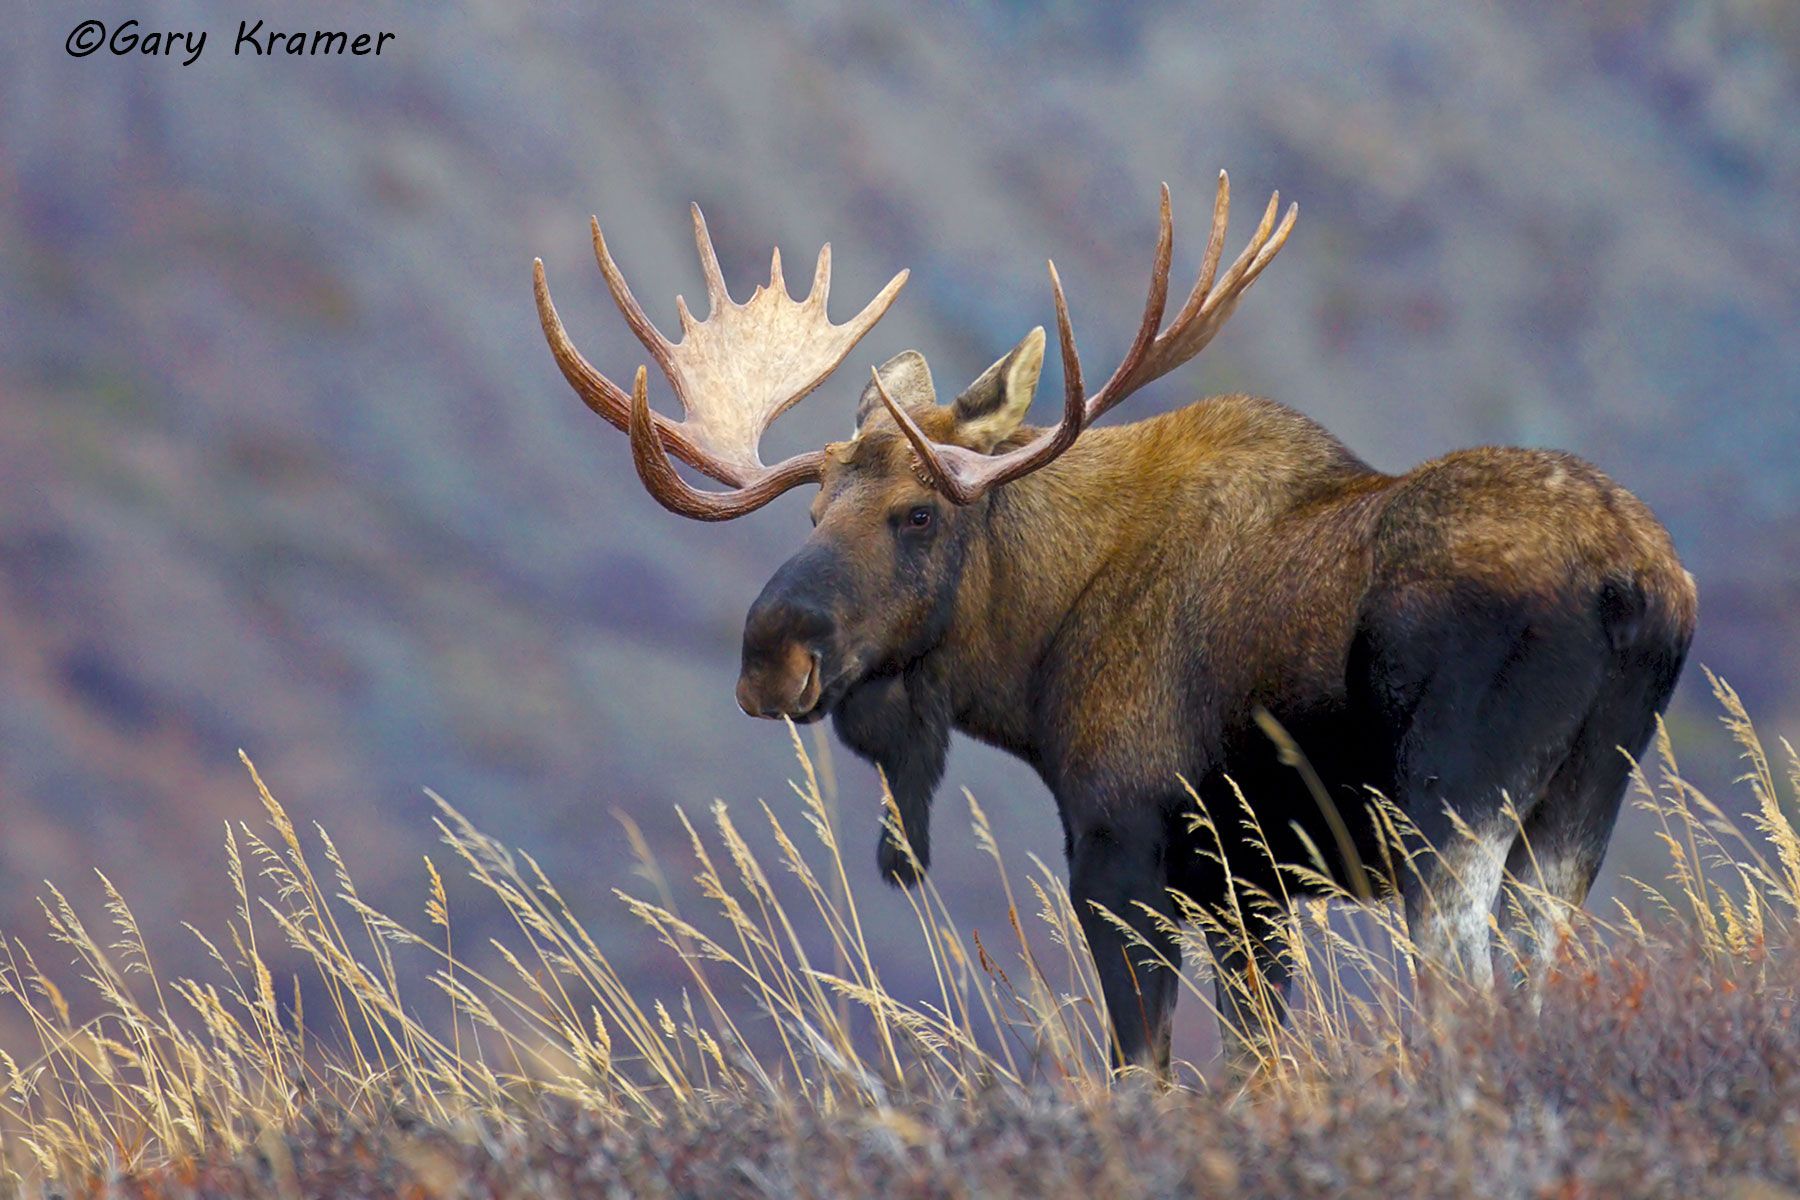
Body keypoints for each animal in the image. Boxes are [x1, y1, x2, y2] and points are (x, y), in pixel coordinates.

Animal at [531, 173, 1696, 1075]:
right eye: (813, 514)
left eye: (917, 514)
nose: (769, 658)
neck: (1032, 655)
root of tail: (1636, 583)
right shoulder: (1249, 892)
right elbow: (1255, 1064)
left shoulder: (1124, 852)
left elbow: (1145, 1071)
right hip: (1573, 814)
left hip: (1449, 811)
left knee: (1462, 995)